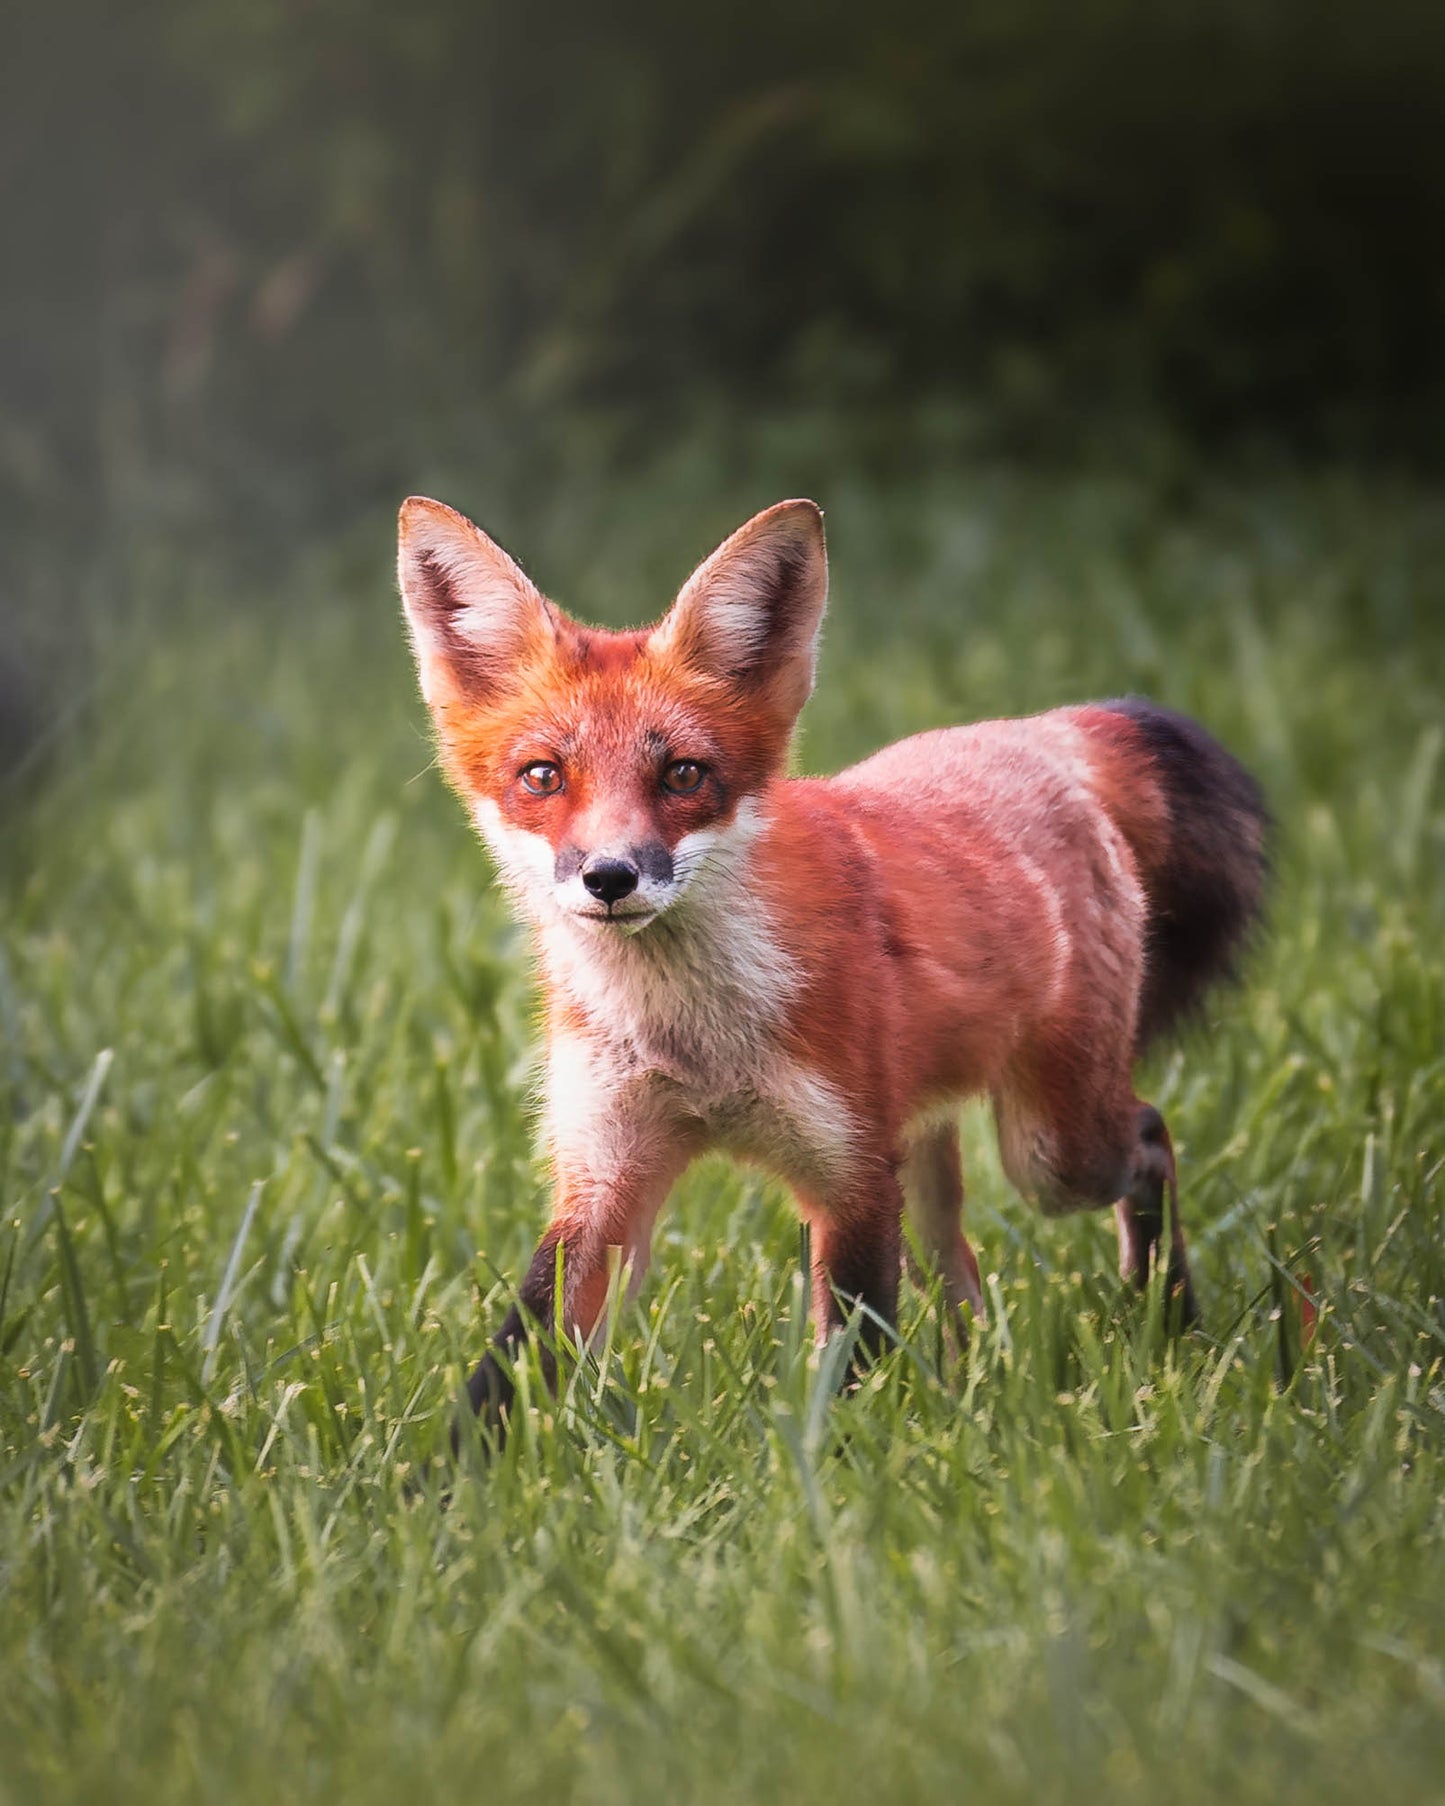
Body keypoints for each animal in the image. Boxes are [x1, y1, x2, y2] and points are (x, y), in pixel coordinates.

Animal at [396, 494, 1268, 1444]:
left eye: (684, 775)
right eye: (542, 776)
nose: (610, 876)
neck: (696, 1042)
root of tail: (1036, 732)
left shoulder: (847, 1181)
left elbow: (850, 1360)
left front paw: (838, 1465)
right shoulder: (603, 1181)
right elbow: (508, 1364)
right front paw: (441, 1481)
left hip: (1050, 1151)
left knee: (1147, 1138)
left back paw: (1166, 1319)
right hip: (926, 1149)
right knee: (959, 1265)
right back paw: (978, 1387)